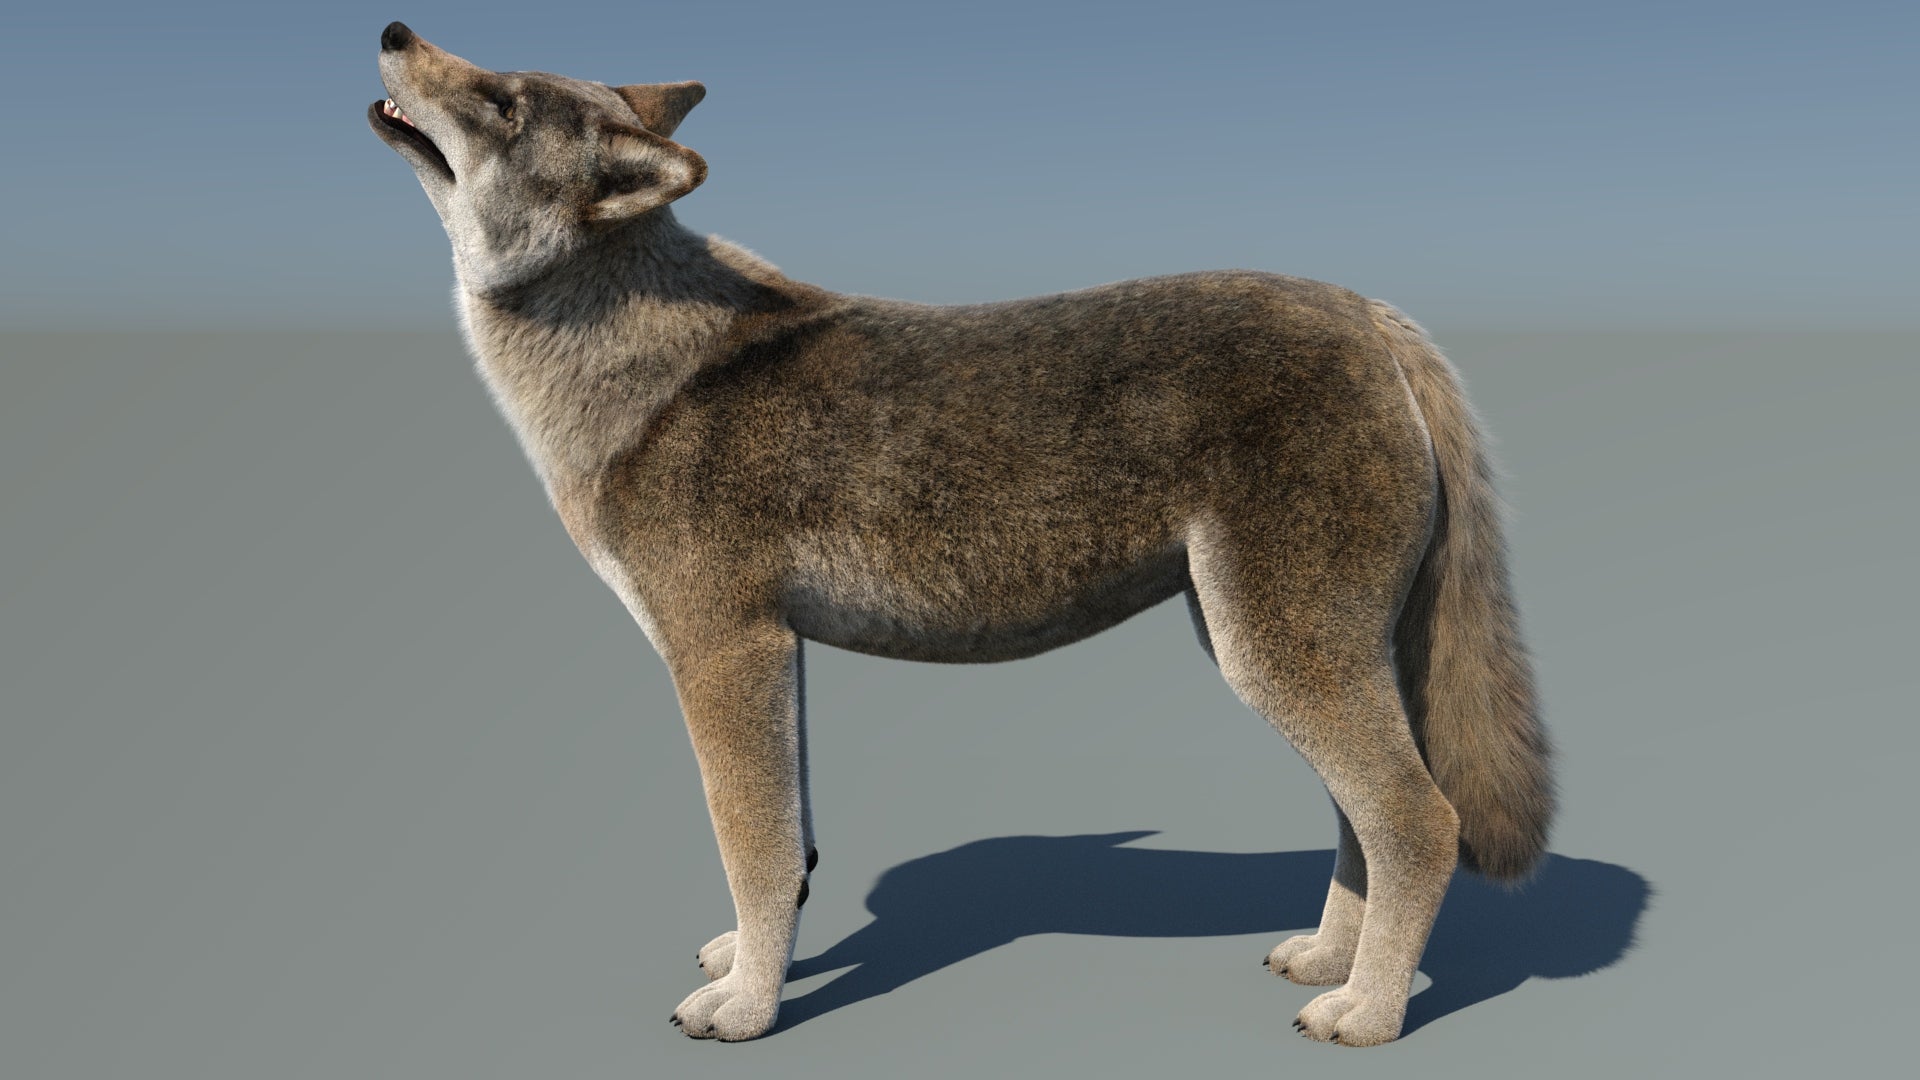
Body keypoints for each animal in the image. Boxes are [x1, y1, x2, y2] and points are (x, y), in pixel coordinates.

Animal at [368, 21, 1553, 1046]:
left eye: (502, 102)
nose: (391, 29)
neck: (626, 363)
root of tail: (1372, 314)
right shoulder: (775, 657)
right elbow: (789, 849)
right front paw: (753, 964)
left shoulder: (724, 654)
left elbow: (751, 846)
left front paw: (748, 1011)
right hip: (1270, 653)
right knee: (1364, 820)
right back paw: (1328, 964)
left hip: (1279, 656)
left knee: (1421, 821)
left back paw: (1370, 1014)